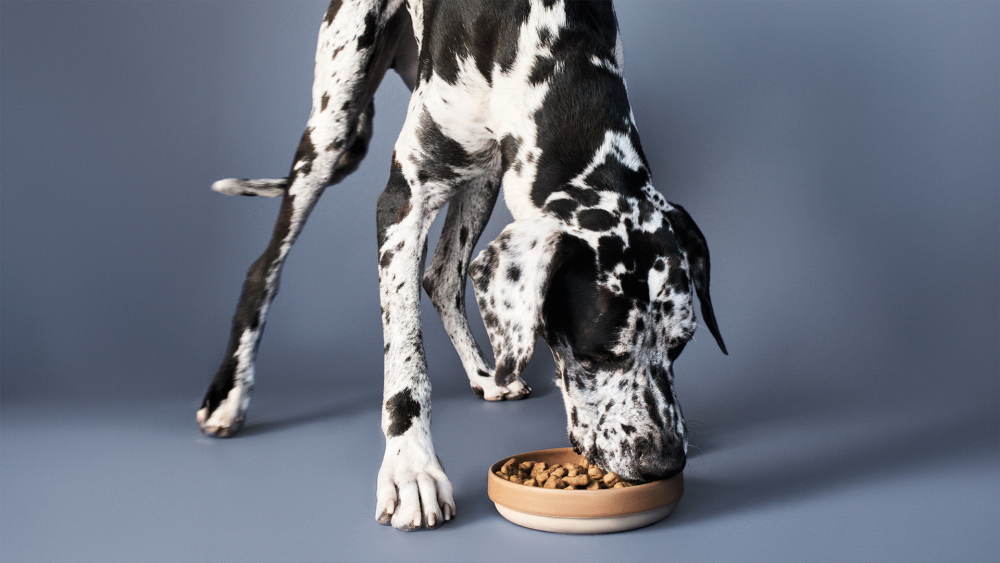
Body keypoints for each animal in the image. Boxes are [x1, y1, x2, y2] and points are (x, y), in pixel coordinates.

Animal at [195, 0, 728, 532]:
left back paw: (487, 373)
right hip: (332, 123)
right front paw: (412, 470)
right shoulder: (403, 201)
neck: (545, 36)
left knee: (445, 275)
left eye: (680, 345)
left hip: (485, 173)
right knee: (266, 265)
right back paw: (230, 394)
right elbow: (405, 360)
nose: (664, 461)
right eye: (596, 353)